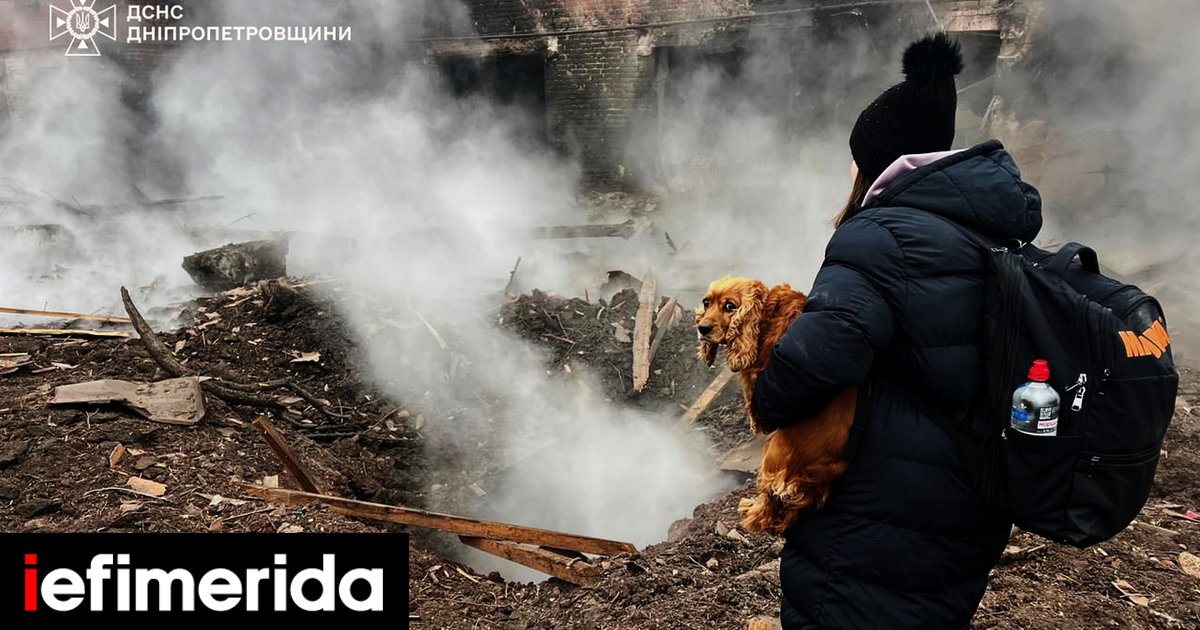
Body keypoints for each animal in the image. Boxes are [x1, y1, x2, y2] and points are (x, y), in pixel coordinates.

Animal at [696, 276, 856, 535]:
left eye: (730, 306)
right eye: (706, 302)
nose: (703, 328)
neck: (766, 312)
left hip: (772, 458)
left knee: (769, 501)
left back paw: (751, 513)